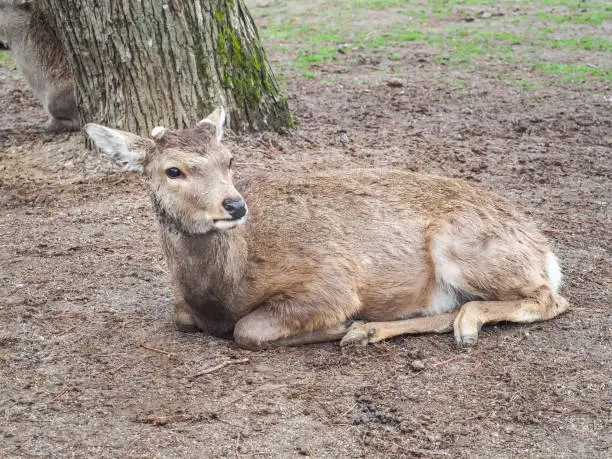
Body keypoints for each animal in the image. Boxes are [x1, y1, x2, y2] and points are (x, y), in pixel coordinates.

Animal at [83, 109, 572, 350]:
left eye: (229, 159)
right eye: (174, 170)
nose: (235, 204)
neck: (224, 289)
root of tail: (545, 249)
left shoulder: (331, 280)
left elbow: (249, 330)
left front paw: (341, 324)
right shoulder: (185, 307)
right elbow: (181, 316)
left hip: (463, 245)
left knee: (551, 298)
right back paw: (376, 331)